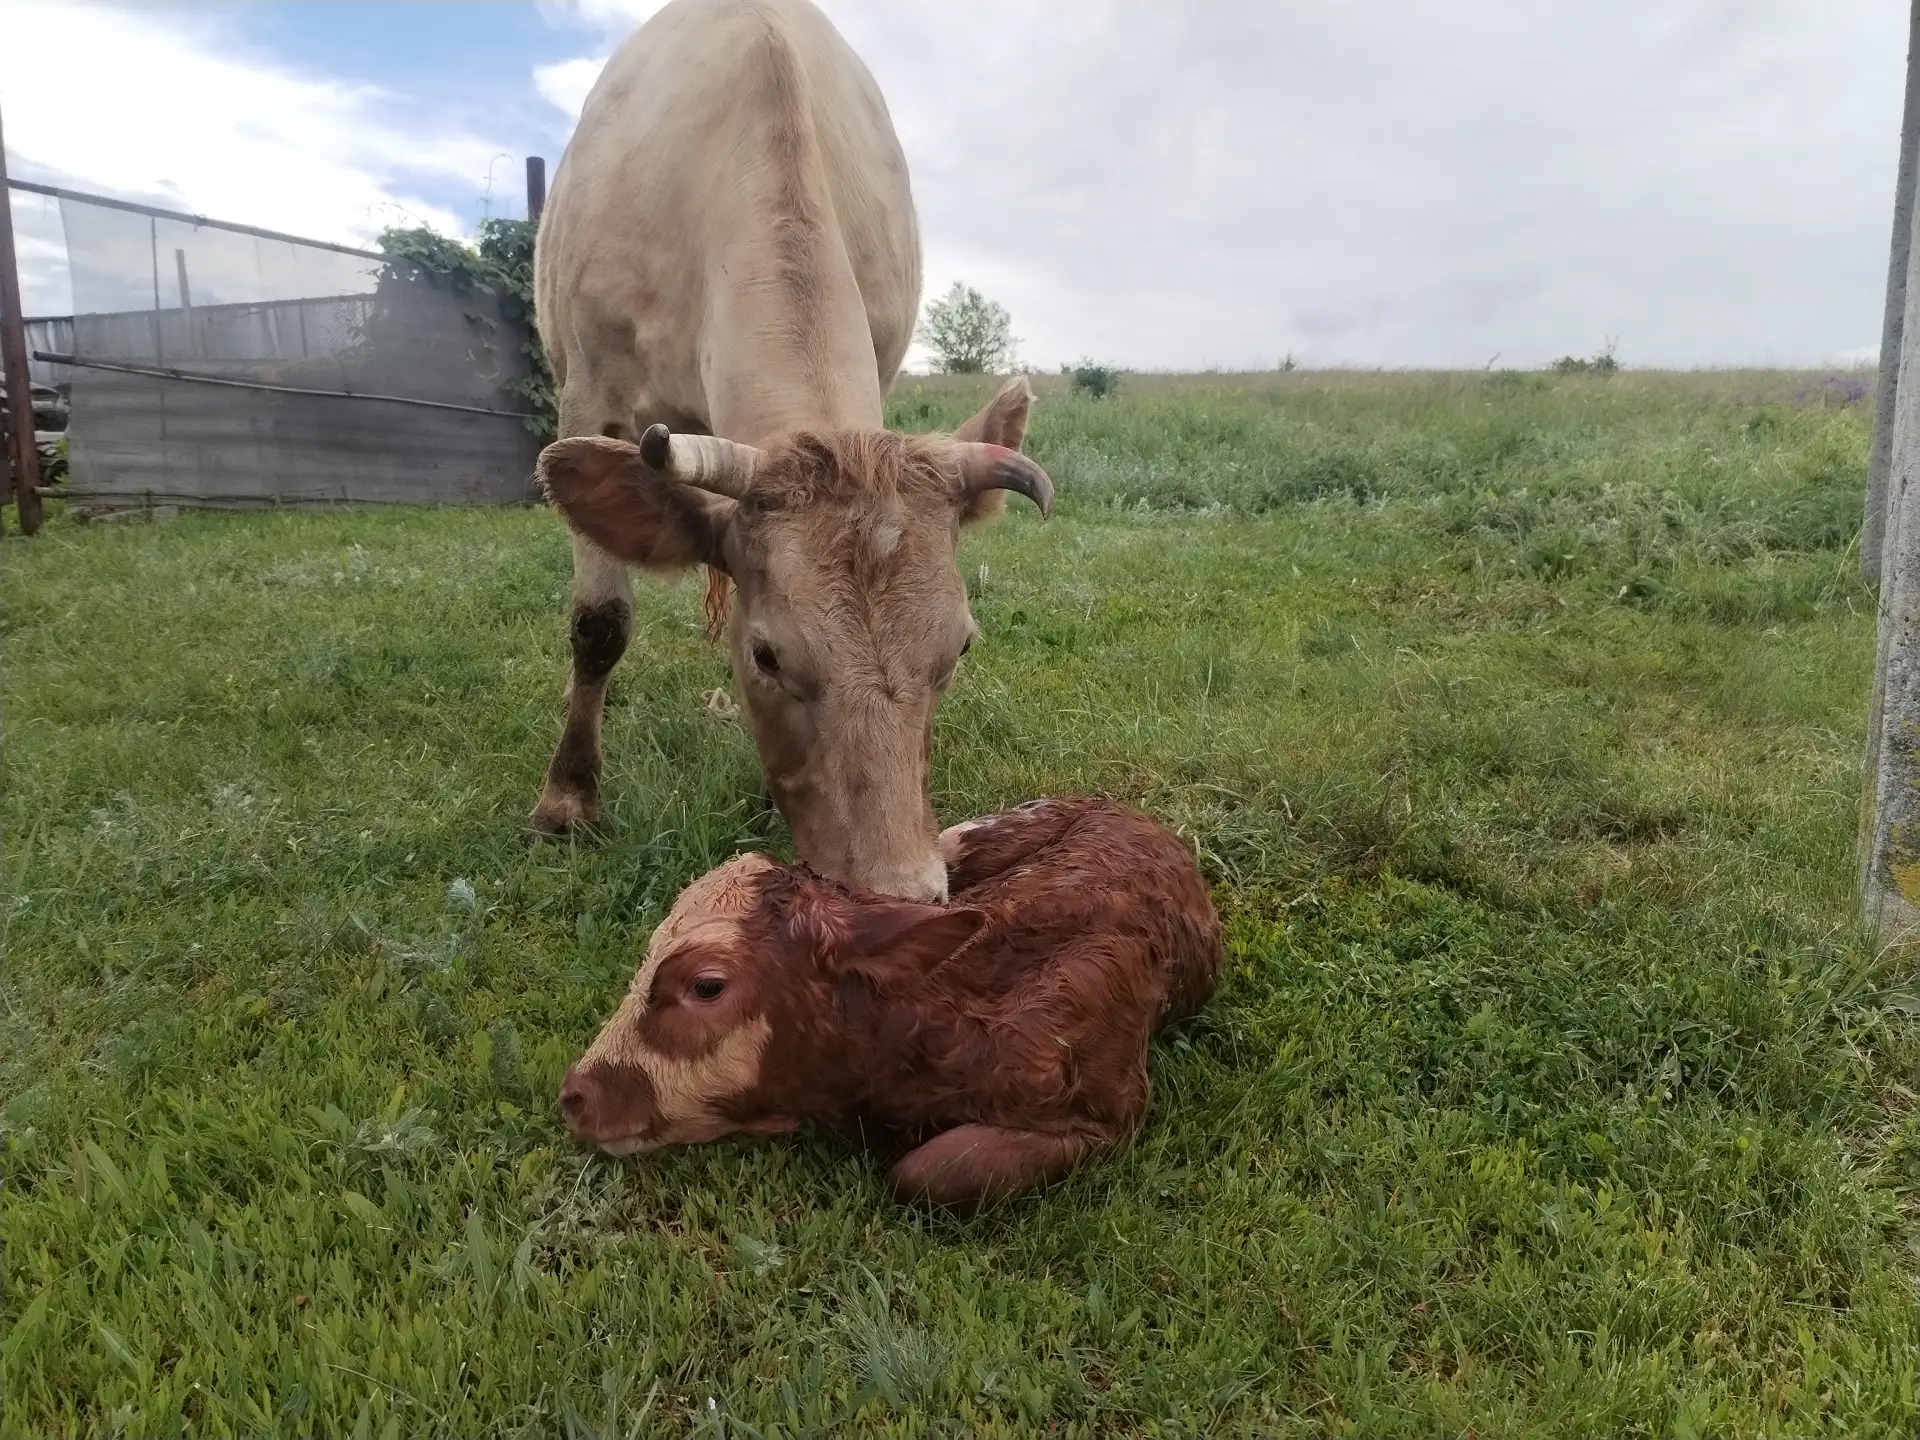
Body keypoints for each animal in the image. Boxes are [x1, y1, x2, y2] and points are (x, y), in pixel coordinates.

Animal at [528, 0, 1054, 903]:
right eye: (767, 655)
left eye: (959, 647)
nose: (903, 894)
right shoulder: (589, 394)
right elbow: (600, 623)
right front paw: (568, 800)